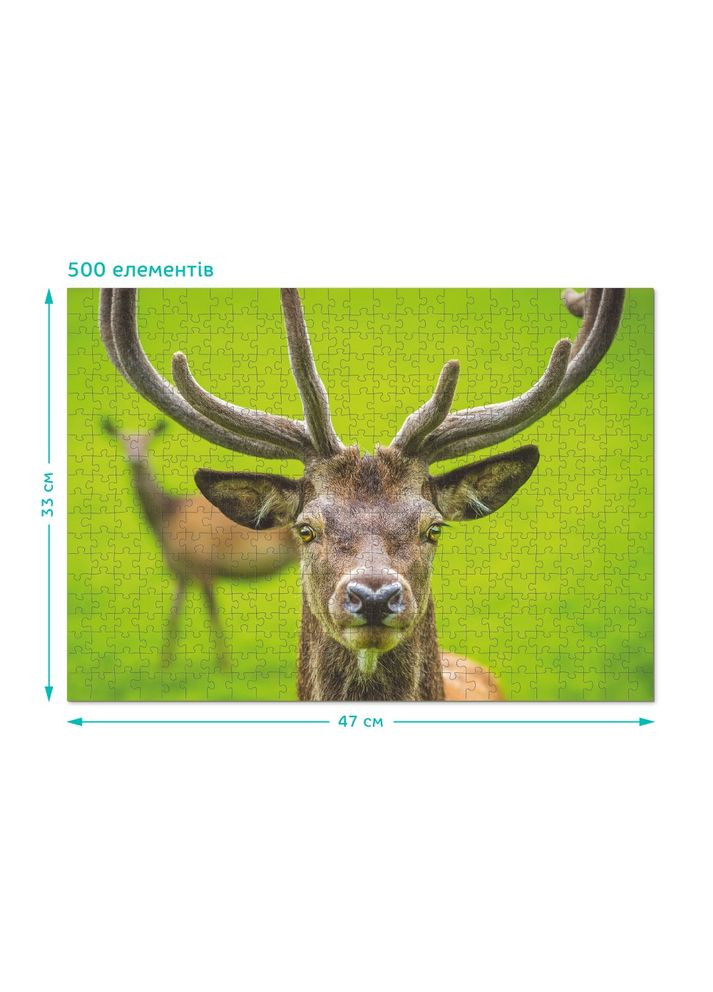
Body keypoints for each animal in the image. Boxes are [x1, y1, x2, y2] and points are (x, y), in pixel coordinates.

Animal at [100, 417, 299, 669]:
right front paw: (164, 664)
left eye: (147, 441)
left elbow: (212, 614)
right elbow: (173, 616)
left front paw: (225, 663)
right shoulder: (180, 572)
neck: (167, 519)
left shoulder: (204, 565)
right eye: (123, 440)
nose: (134, 459)